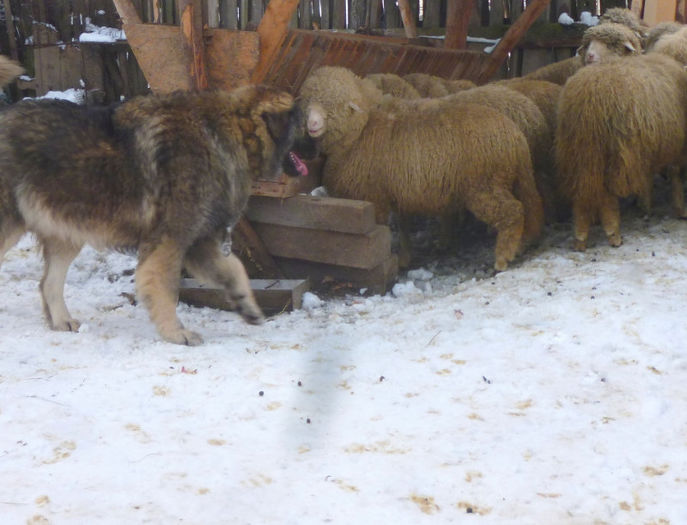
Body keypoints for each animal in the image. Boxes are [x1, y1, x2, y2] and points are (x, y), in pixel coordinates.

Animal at [0, 65, 308, 344]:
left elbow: (234, 268)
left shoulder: (199, 241)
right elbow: (167, 288)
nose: (317, 147)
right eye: (303, 125)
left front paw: (247, 305)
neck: (222, 135)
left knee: (49, 283)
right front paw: (176, 333)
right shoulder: (170, 241)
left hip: (67, 230)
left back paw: (62, 321)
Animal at [298, 66, 544, 270]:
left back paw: (502, 257)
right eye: (307, 104)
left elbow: (384, 231)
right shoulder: (397, 192)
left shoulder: (375, 198)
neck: (359, 131)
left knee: (514, 211)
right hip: (513, 179)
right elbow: (403, 226)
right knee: (530, 206)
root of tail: (515, 136)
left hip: (484, 186)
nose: (312, 124)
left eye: (332, 105)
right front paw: (405, 257)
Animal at [556, 50, 687, 251]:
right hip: (613, 153)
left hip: (580, 154)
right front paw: (680, 210)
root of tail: (587, 99)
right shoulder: (676, 150)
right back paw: (613, 234)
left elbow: (647, 178)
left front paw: (645, 206)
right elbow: (676, 177)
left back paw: (580, 238)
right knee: (607, 197)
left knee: (581, 196)